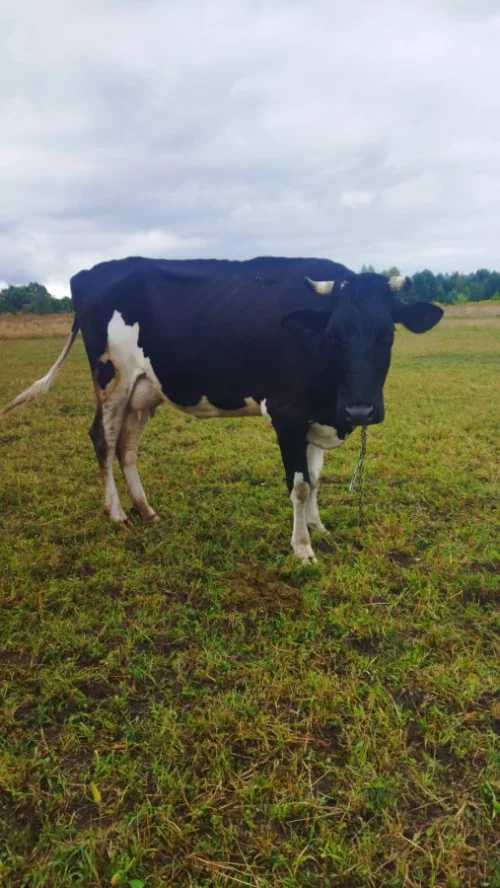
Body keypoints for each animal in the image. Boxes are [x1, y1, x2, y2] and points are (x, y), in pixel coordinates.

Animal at [0, 256, 443, 563]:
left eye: (387, 334)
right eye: (334, 335)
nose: (360, 410)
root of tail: (87, 274)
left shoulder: (317, 416)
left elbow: (316, 478)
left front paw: (319, 527)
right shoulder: (287, 413)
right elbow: (299, 484)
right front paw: (302, 548)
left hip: (143, 391)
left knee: (127, 447)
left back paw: (146, 510)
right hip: (113, 379)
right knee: (103, 440)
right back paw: (117, 513)